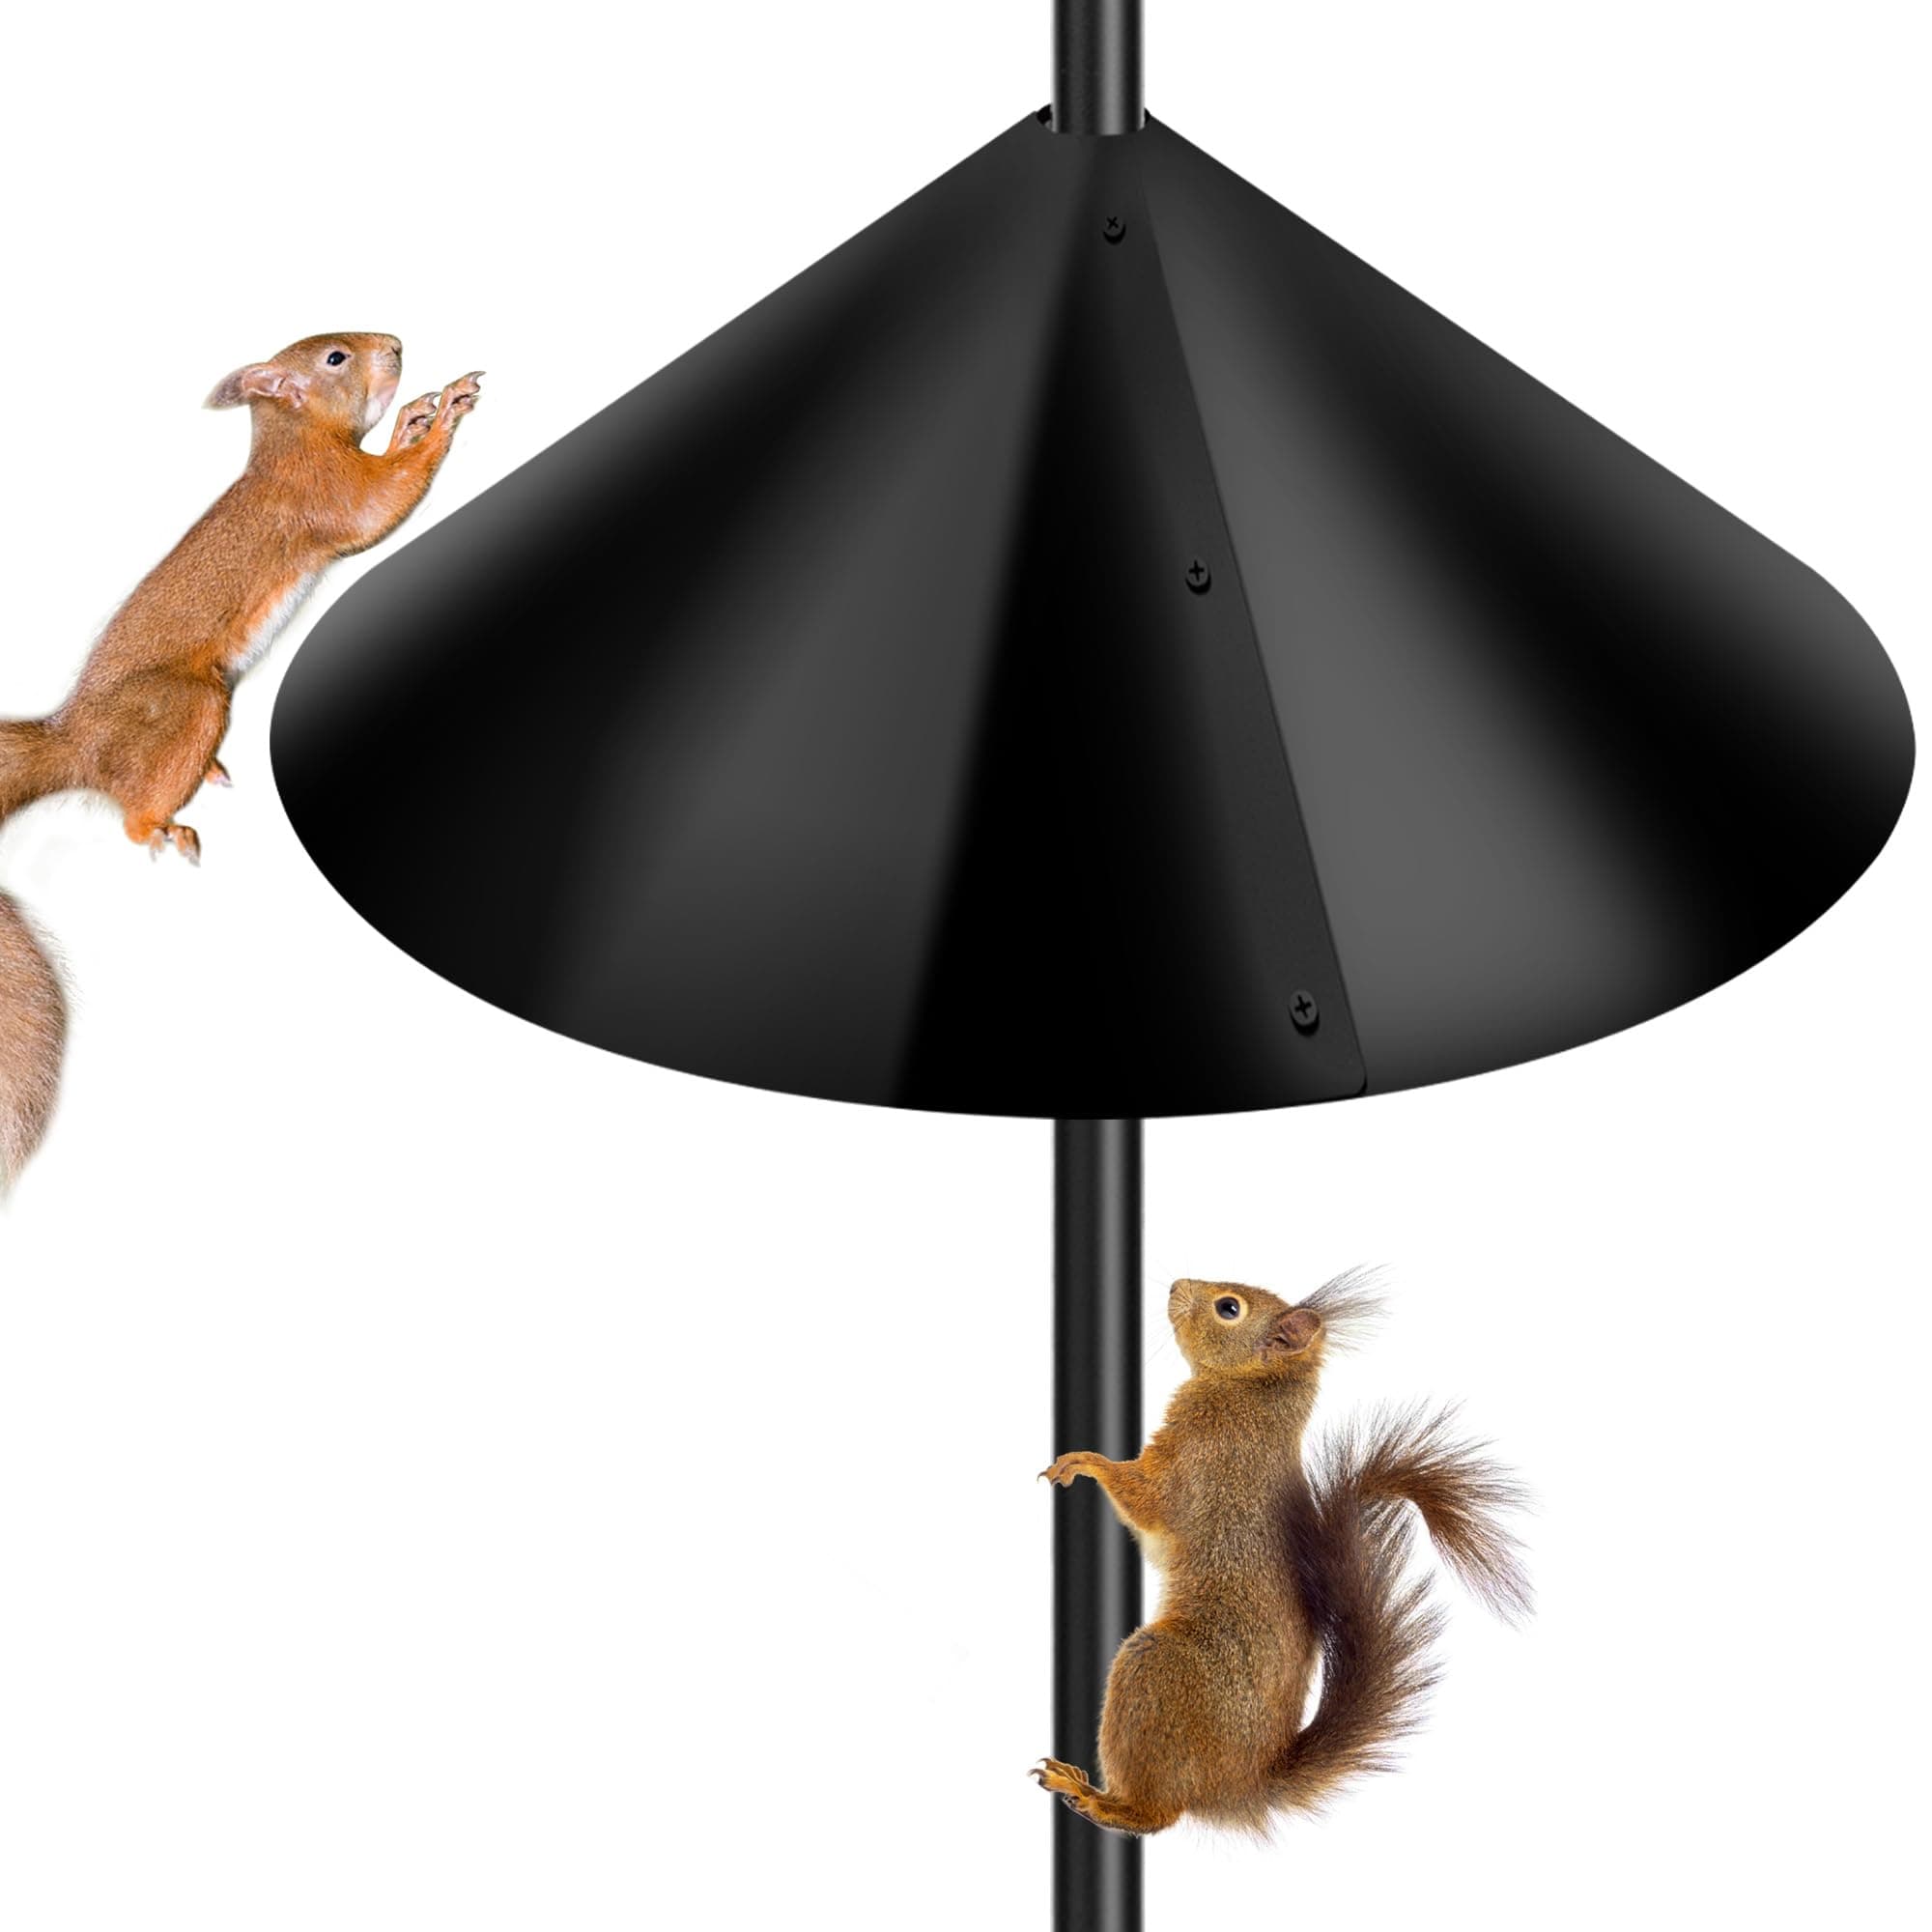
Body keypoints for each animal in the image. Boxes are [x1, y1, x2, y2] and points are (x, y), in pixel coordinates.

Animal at [0, 333, 483, 1179]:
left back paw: (211, 775)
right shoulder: (326, 494)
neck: (294, 444)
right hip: (193, 703)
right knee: (132, 815)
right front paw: (441, 416)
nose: (394, 345)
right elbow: (382, 501)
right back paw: (169, 830)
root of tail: (79, 743)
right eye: (334, 357)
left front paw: (421, 410)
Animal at [1034, 1271, 1529, 1835]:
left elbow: (1145, 1500)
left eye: (1229, 1308)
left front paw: (1087, 1462)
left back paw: (1095, 1797)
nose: (1176, 1285)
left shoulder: (1197, 1461)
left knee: (1155, 1815)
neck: (1253, 1393)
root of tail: (1238, 1786)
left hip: (1156, 1671)